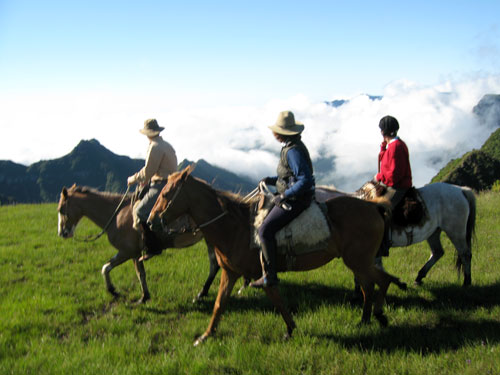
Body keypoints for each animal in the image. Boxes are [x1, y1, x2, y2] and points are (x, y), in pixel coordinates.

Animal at [56, 185, 219, 306]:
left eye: (61, 209)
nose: (62, 233)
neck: (117, 216)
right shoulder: (133, 253)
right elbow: (133, 272)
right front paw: (141, 296)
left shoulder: (128, 252)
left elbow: (111, 268)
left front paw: (117, 291)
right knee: (214, 265)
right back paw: (201, 294)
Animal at [148, 167, 406, 346]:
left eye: (166, 193)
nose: (151, 221)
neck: (235, 227)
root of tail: (373, 206)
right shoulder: (230, 273)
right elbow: (219, 305)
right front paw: (205, 335)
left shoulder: (263, 273)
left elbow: (277, 301)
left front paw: (290, 329)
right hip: (358, 261)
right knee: (370, 286)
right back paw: (366, 319)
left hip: (358, 260)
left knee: (379, 281)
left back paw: (378, 315)